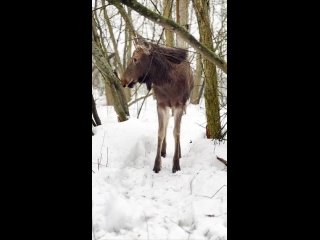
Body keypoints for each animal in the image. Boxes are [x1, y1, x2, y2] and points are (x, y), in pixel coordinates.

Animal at [120, 40, 194, 172]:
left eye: (135, 59)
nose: (123, 80)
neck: (167, 82)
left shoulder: (179, 105)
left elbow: (176, 132)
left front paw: (176, 164)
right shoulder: (161, 104)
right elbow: (160, 132)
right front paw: (157, 164)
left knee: (176, 128)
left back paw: (178, 153)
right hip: (168, 107)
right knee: (167, 125)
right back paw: (164, 151)